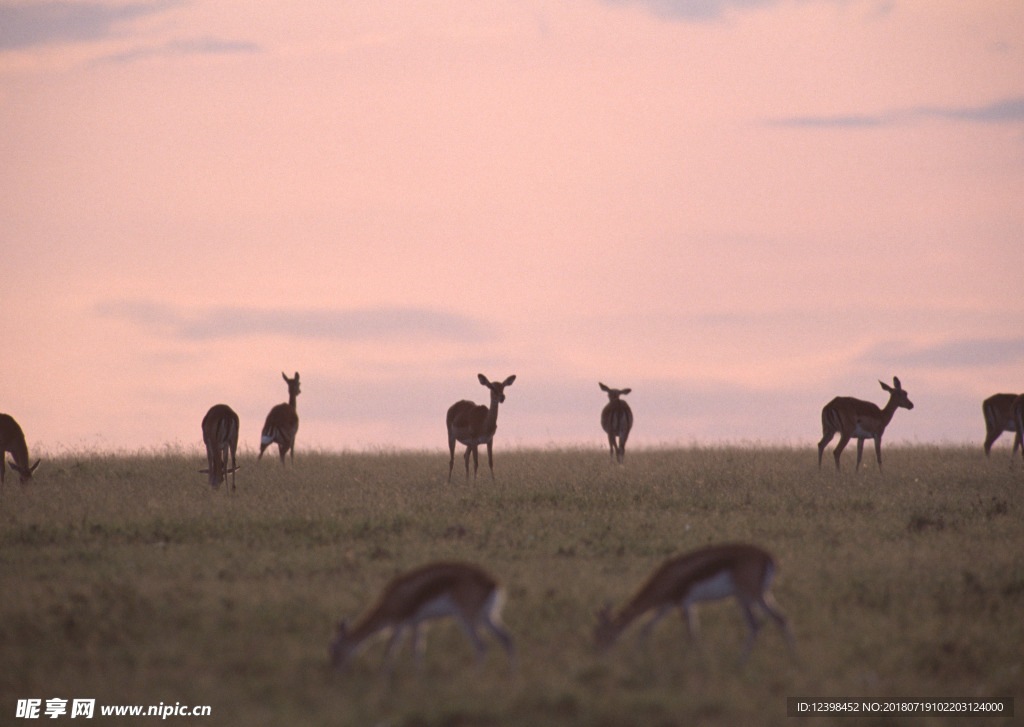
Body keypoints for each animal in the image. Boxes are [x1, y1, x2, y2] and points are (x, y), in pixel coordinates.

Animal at [331, 565, 516, 671]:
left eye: (333, 648)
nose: (334, 670)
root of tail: (493, 582)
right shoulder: (417, 623)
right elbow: (416, 649)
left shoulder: (403, 623)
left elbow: (392, 650)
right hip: (487, 617)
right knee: (507, 639)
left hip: (467, 619)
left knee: (482, 646)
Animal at [589, 540, 794, 667]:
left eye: (601, 633)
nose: (597, 654)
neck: (670, 575)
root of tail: (769, 557)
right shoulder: (668, 605)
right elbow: (646, 629)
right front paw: (635, 657)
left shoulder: (685, 603)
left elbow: (692, 634)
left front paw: (697, 661)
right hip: (745, 597)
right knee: (761, 624)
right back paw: (741, 663)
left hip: (754, 595)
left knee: (777, 619)